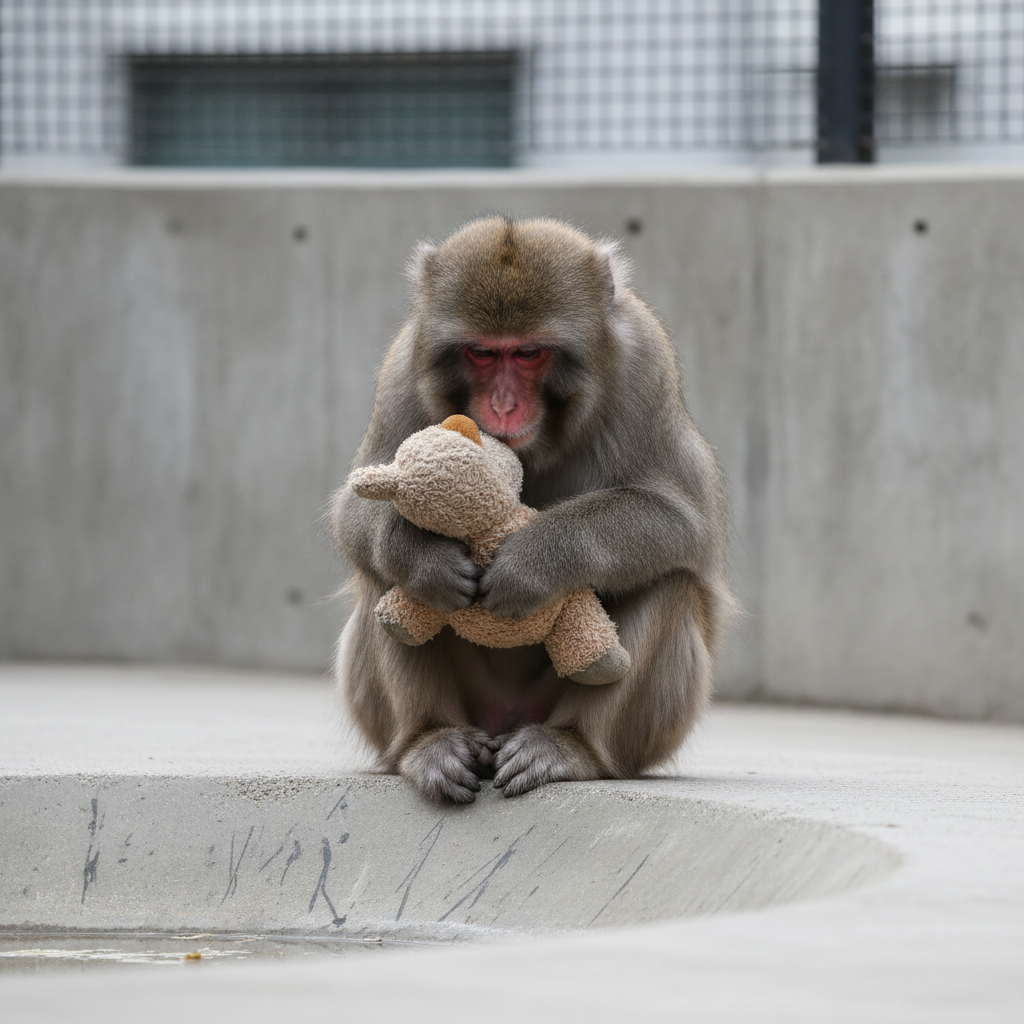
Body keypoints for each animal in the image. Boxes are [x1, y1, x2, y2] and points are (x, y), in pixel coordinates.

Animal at [329, 216, 732, 803]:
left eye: (527, 354)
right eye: (481, 353)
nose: (501, 406)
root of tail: (505, 719)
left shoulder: (645, 364)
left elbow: (683, 522)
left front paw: (532, 562)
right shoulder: (402, 369)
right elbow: (355, 511)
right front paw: (423, 556)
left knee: (669, 581)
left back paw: (571, 747)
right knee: (379, 578)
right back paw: (431, 739)